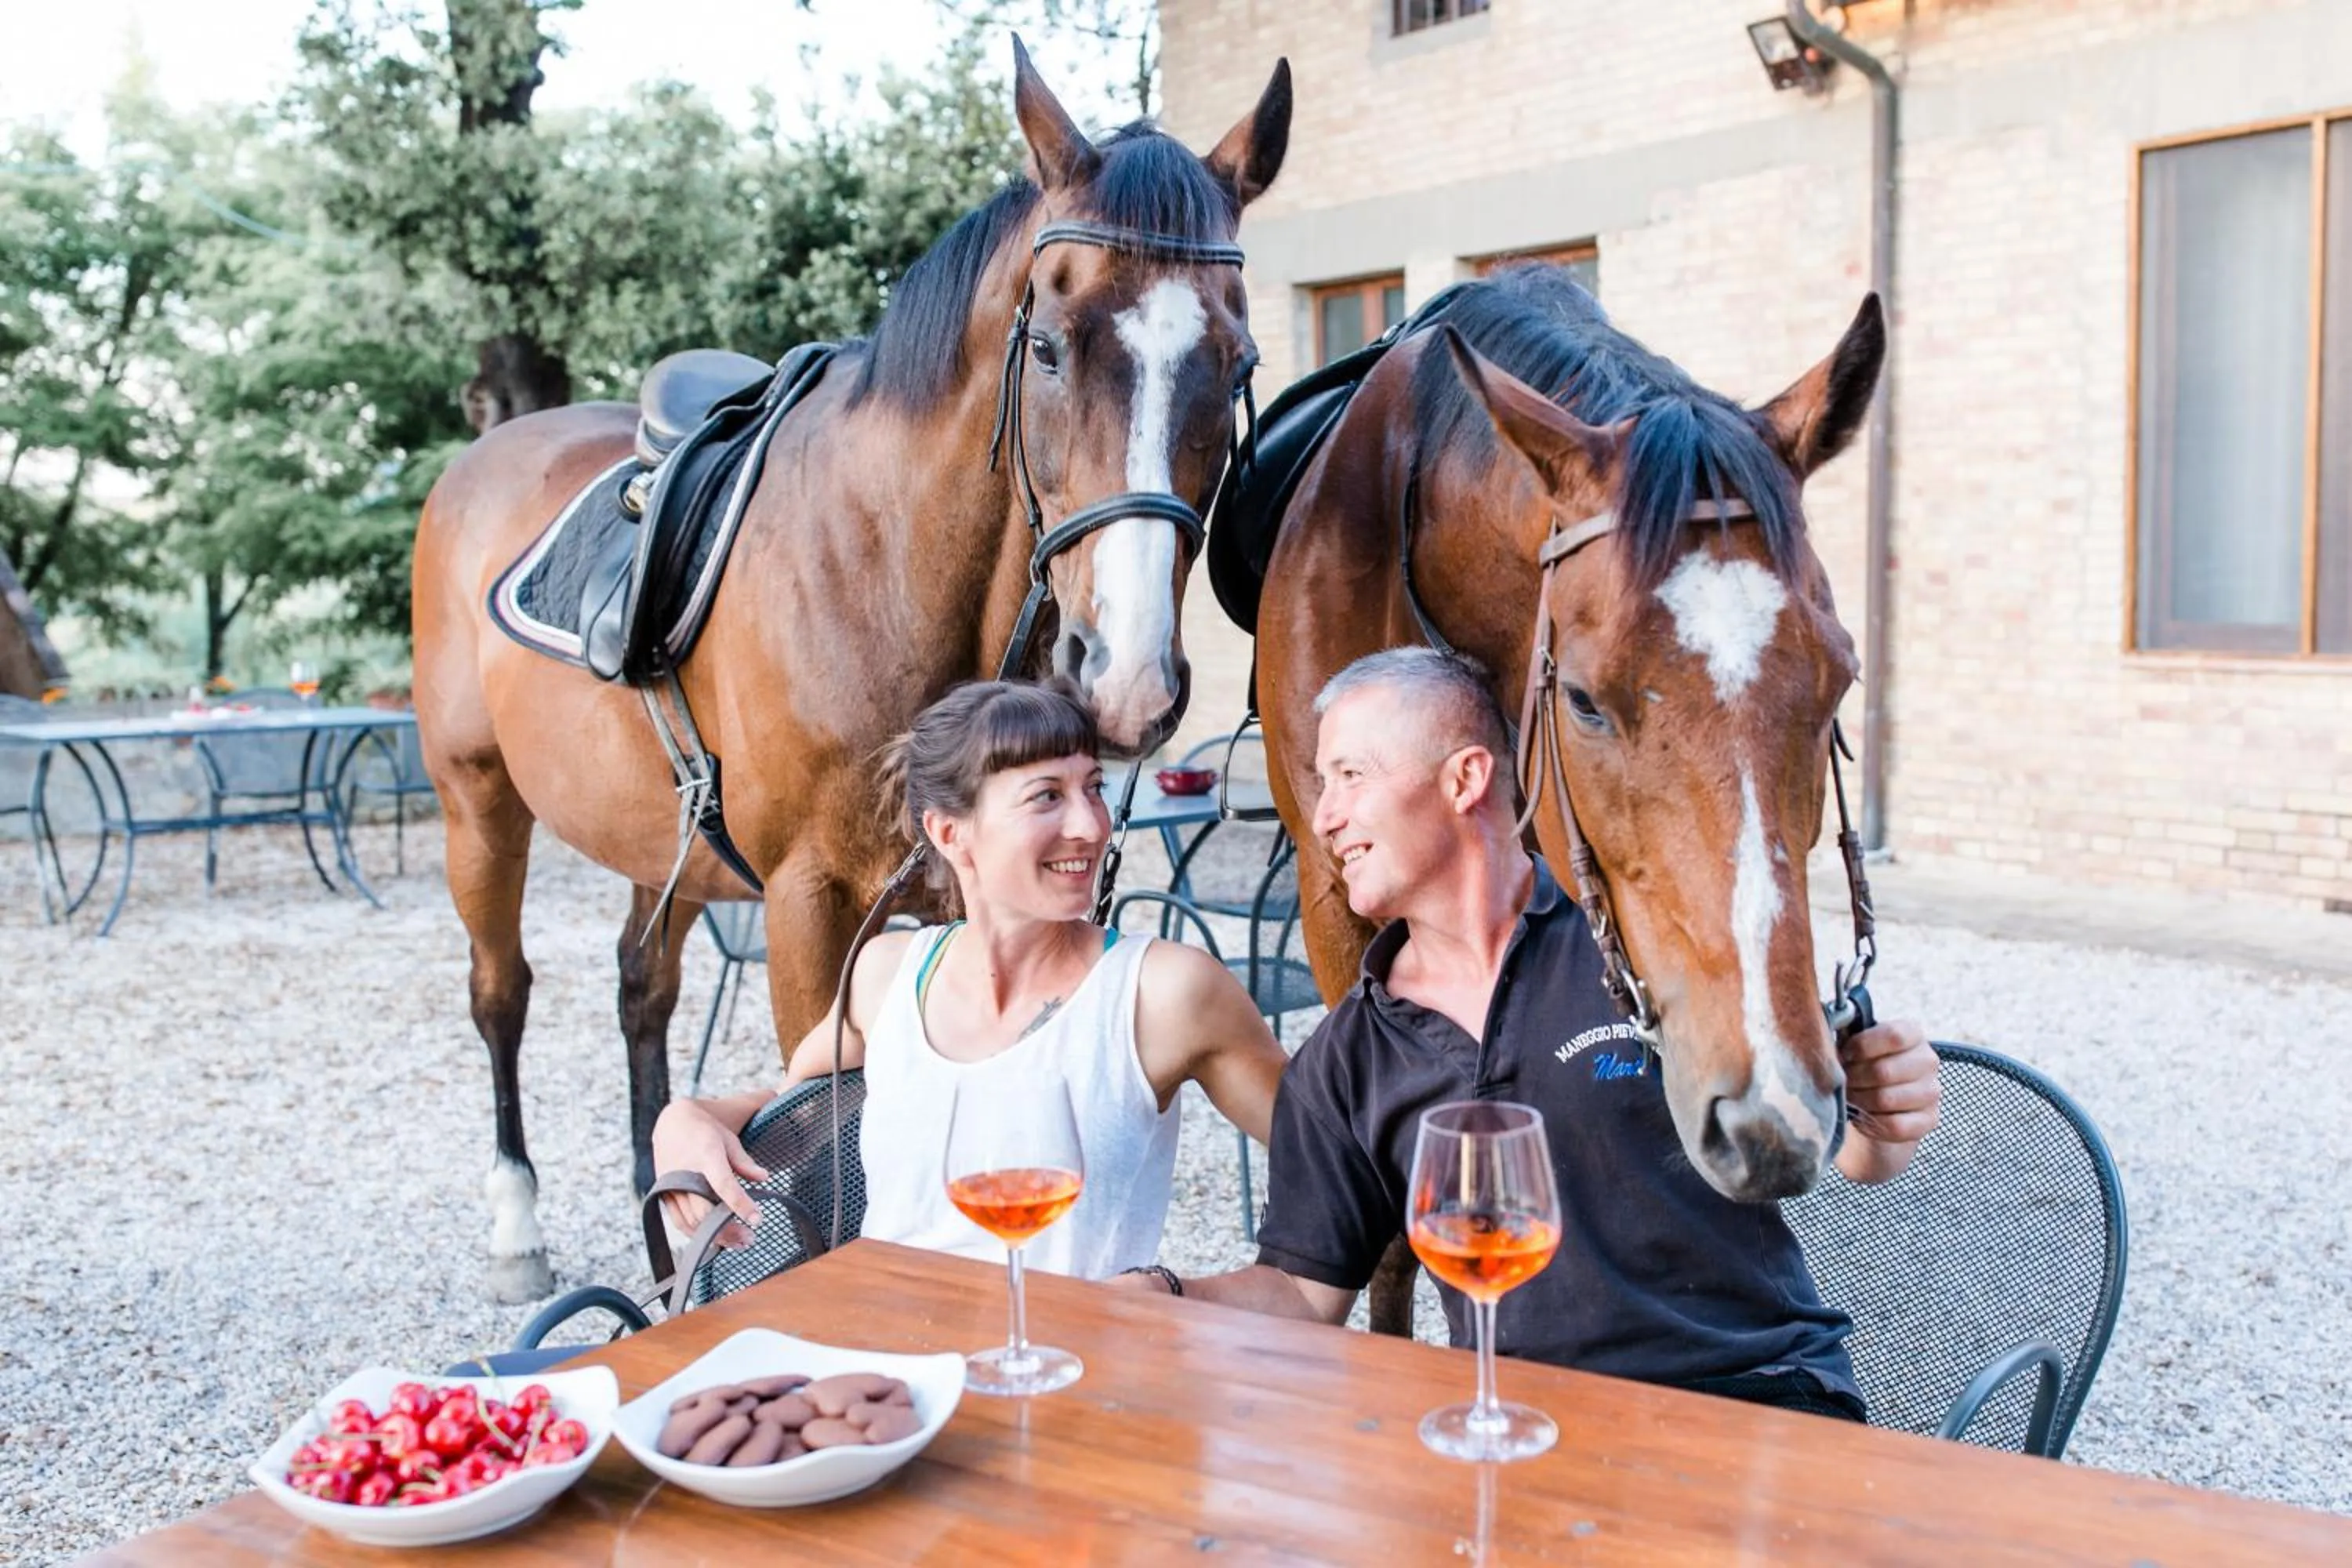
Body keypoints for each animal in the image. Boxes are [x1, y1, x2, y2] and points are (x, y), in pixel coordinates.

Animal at [410, 42, 1292, 1301]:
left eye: (1238, 360)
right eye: (1047, 346)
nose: (1126, 677)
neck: (889, 566)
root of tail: (483, 455)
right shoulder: (808, 902)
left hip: (656, 838)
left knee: (640, 987)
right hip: (475, 801)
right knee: (502, 991)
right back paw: (517, 1226)